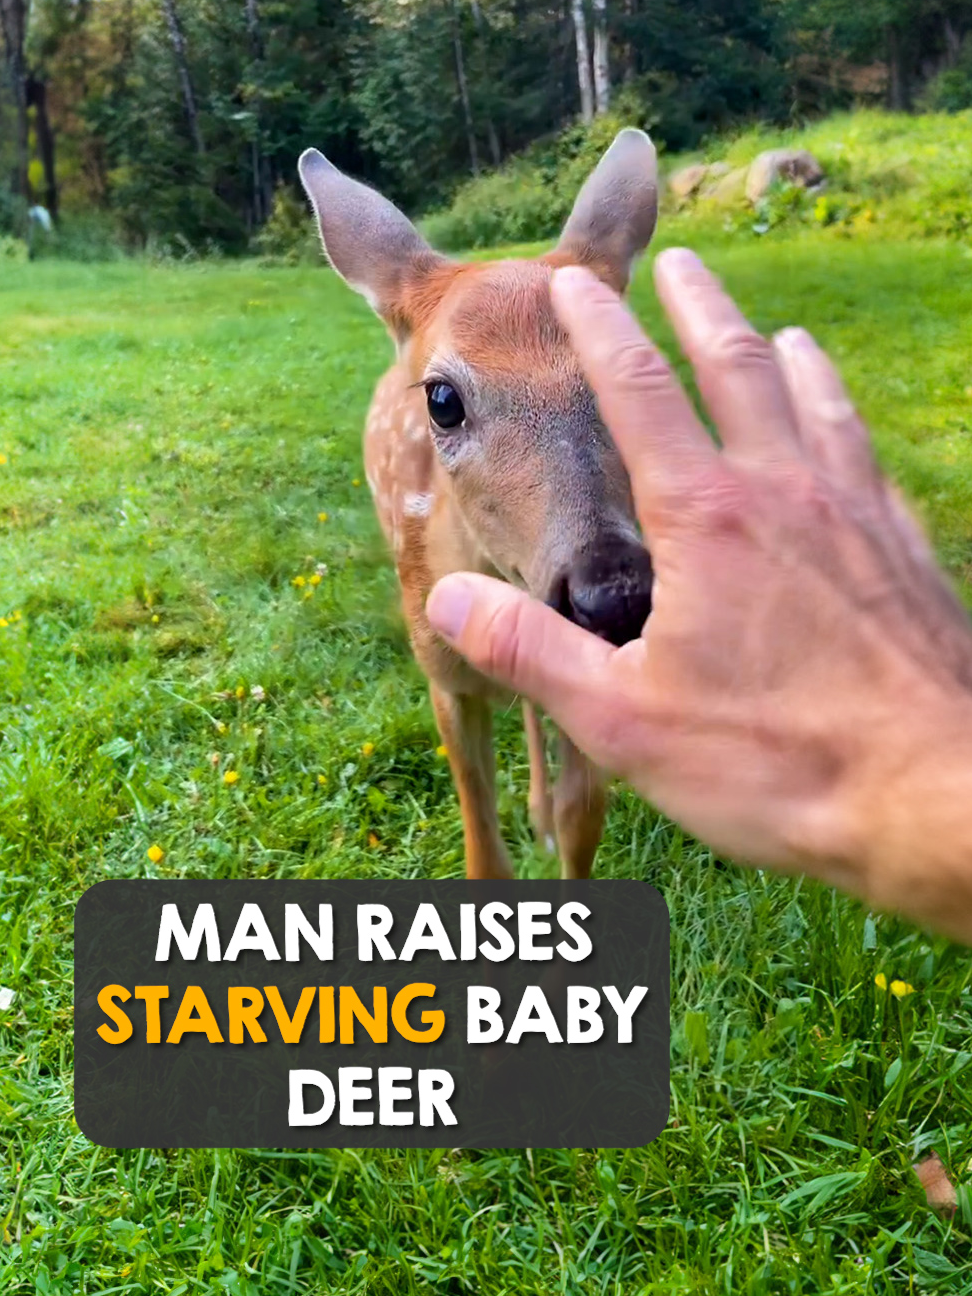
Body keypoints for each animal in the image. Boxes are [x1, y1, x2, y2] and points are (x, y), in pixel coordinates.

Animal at [298, 129, 657, 882]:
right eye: (442, 399)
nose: (613, 594)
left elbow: (583, 819)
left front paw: (554, 825)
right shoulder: (441, 675)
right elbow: (482, 849)